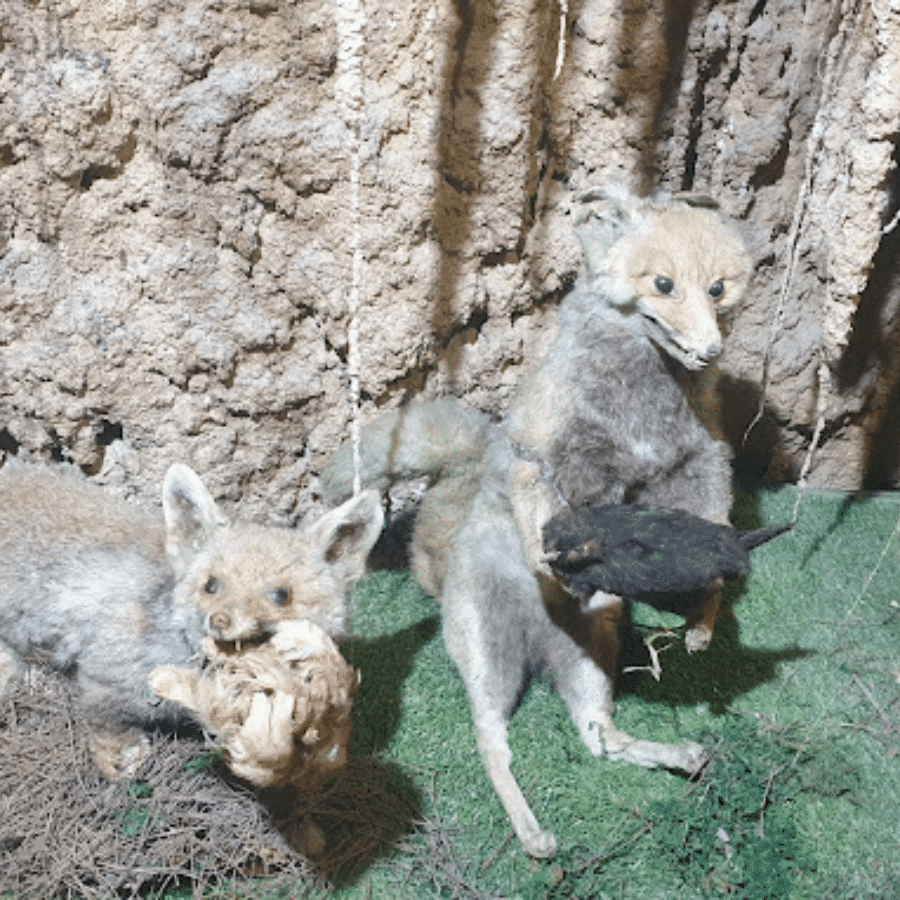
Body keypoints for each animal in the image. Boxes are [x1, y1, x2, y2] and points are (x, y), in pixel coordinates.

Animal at [0, 460, 384, 776]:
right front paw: (120, 758)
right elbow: (106, 719)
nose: (220, 620)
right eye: (211, 585)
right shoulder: (103, 673)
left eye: (281, 596)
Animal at [324, 183, 752, 856]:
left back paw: (679, 755)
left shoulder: (695, 461)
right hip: (485, 652)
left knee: (598, 737)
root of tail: (537, 645)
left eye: (718, 288)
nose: (711, 349)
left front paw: (703, 627)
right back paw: (532, 835)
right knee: (491, 741)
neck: (641, 407)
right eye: (662, 284)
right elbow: (539, 514)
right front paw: (553, 568)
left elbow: (715, 535)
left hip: (593, 659)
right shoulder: (541, 455)